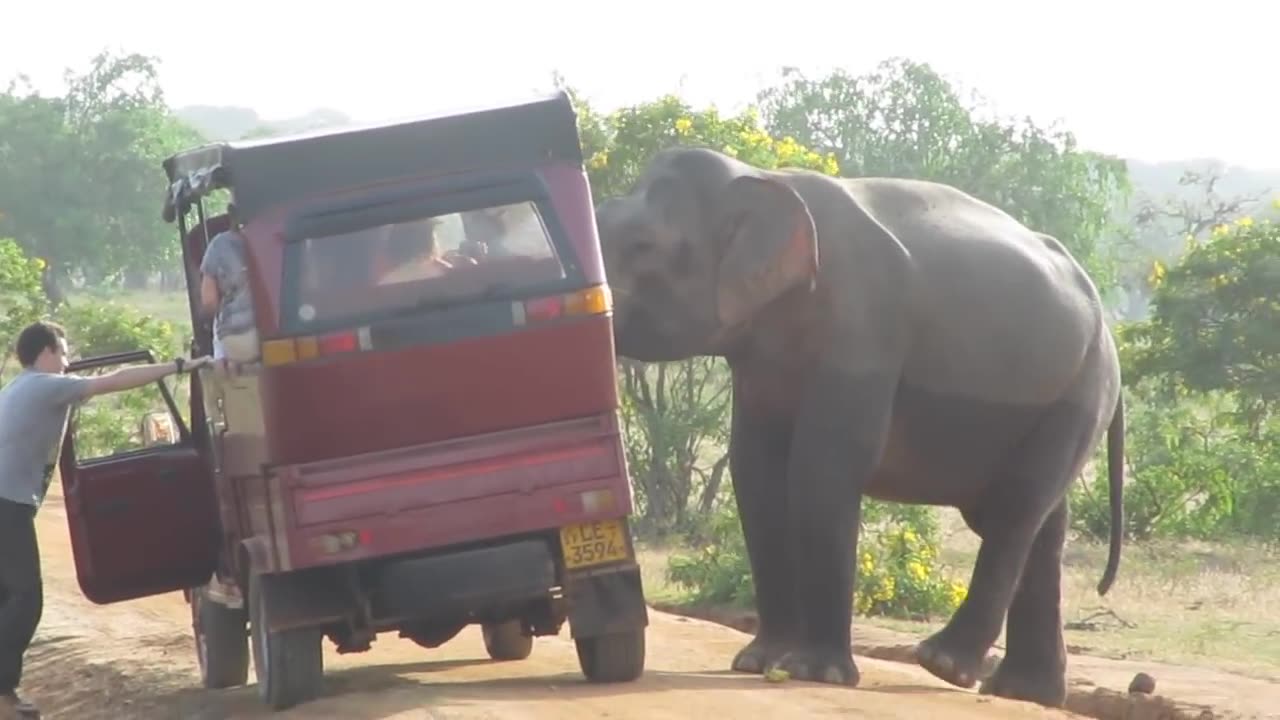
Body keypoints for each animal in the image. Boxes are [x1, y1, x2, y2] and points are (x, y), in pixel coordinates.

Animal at [593, 146, 1126, 707]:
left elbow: (823, 467)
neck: (761, 178)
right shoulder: (760, 360)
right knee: (1044, 524)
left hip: (1082, 392)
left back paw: (943, 665)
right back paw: (1024, 691)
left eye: (642, 245)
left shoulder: (863, 328)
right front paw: (759, 663)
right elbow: (756, 472)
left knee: (1016, 508)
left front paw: (814, 673)